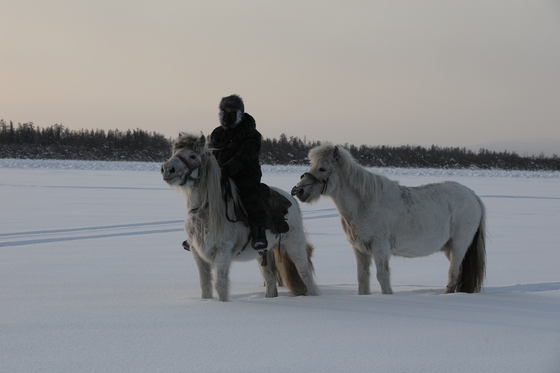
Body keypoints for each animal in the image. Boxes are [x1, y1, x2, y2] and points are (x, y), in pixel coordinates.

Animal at [162, 132, 320, 300]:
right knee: (270, 277)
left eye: (192, 156)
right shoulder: (198, 254)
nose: (167, 169)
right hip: (264, 252)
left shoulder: (222, 253)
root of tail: (291, 199)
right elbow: (205, 285)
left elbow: (220, 285)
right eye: (174, 153)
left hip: (295, 246)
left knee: (305, 274)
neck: (205, 213)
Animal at [294, 142, 486, 294]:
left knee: (453, 274)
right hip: (449, 248)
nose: (299, 190)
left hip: (459, 245)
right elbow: (362, 278)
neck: (364, 203)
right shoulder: (360, 249)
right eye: (311, 165)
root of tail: (472, 195)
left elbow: (382, 276)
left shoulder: (379, 247)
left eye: (322, 168)